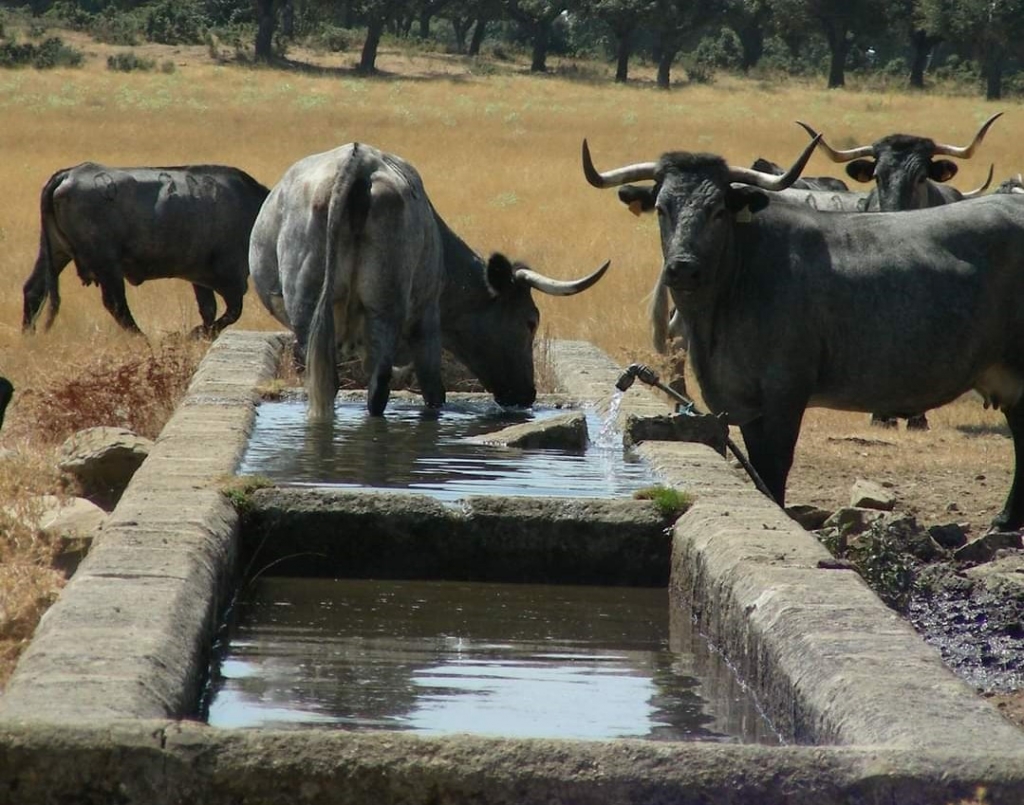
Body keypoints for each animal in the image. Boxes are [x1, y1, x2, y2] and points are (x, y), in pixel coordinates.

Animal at [24, 161, 272, 337]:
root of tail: (68, 174)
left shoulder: (200, 278)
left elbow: (209, 310)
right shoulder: (231, 279)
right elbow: (231, 312)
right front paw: (191, 334)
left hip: (55, 252)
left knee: (34, 289)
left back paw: (29, 336)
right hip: (106, 264)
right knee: (116, 304)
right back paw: (144, 338)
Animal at [251, 142, 610, 419]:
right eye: (530, 321)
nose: (527, 394)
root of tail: (358, 163)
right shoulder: (427, 317)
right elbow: (434, 390)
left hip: (312, 311)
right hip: (389, 308)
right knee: (384, 386)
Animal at [585, 135, 1024, 528]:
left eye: (717, 210)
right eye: (662, 208)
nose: (682, 268)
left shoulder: (785, 392)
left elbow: (775, 464)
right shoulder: (744, 401)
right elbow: (759, 461)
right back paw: (1006, 520)